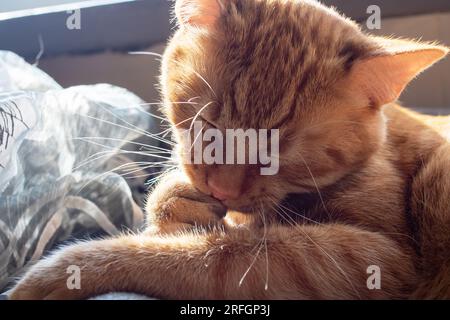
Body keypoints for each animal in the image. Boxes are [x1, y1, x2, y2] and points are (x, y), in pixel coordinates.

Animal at [7, 0, 450, 300]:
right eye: (208, 124)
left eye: (277, 149)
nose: (221, 189)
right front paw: (179, 199)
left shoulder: (372, 256)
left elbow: (214, 255)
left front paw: (67, 271)